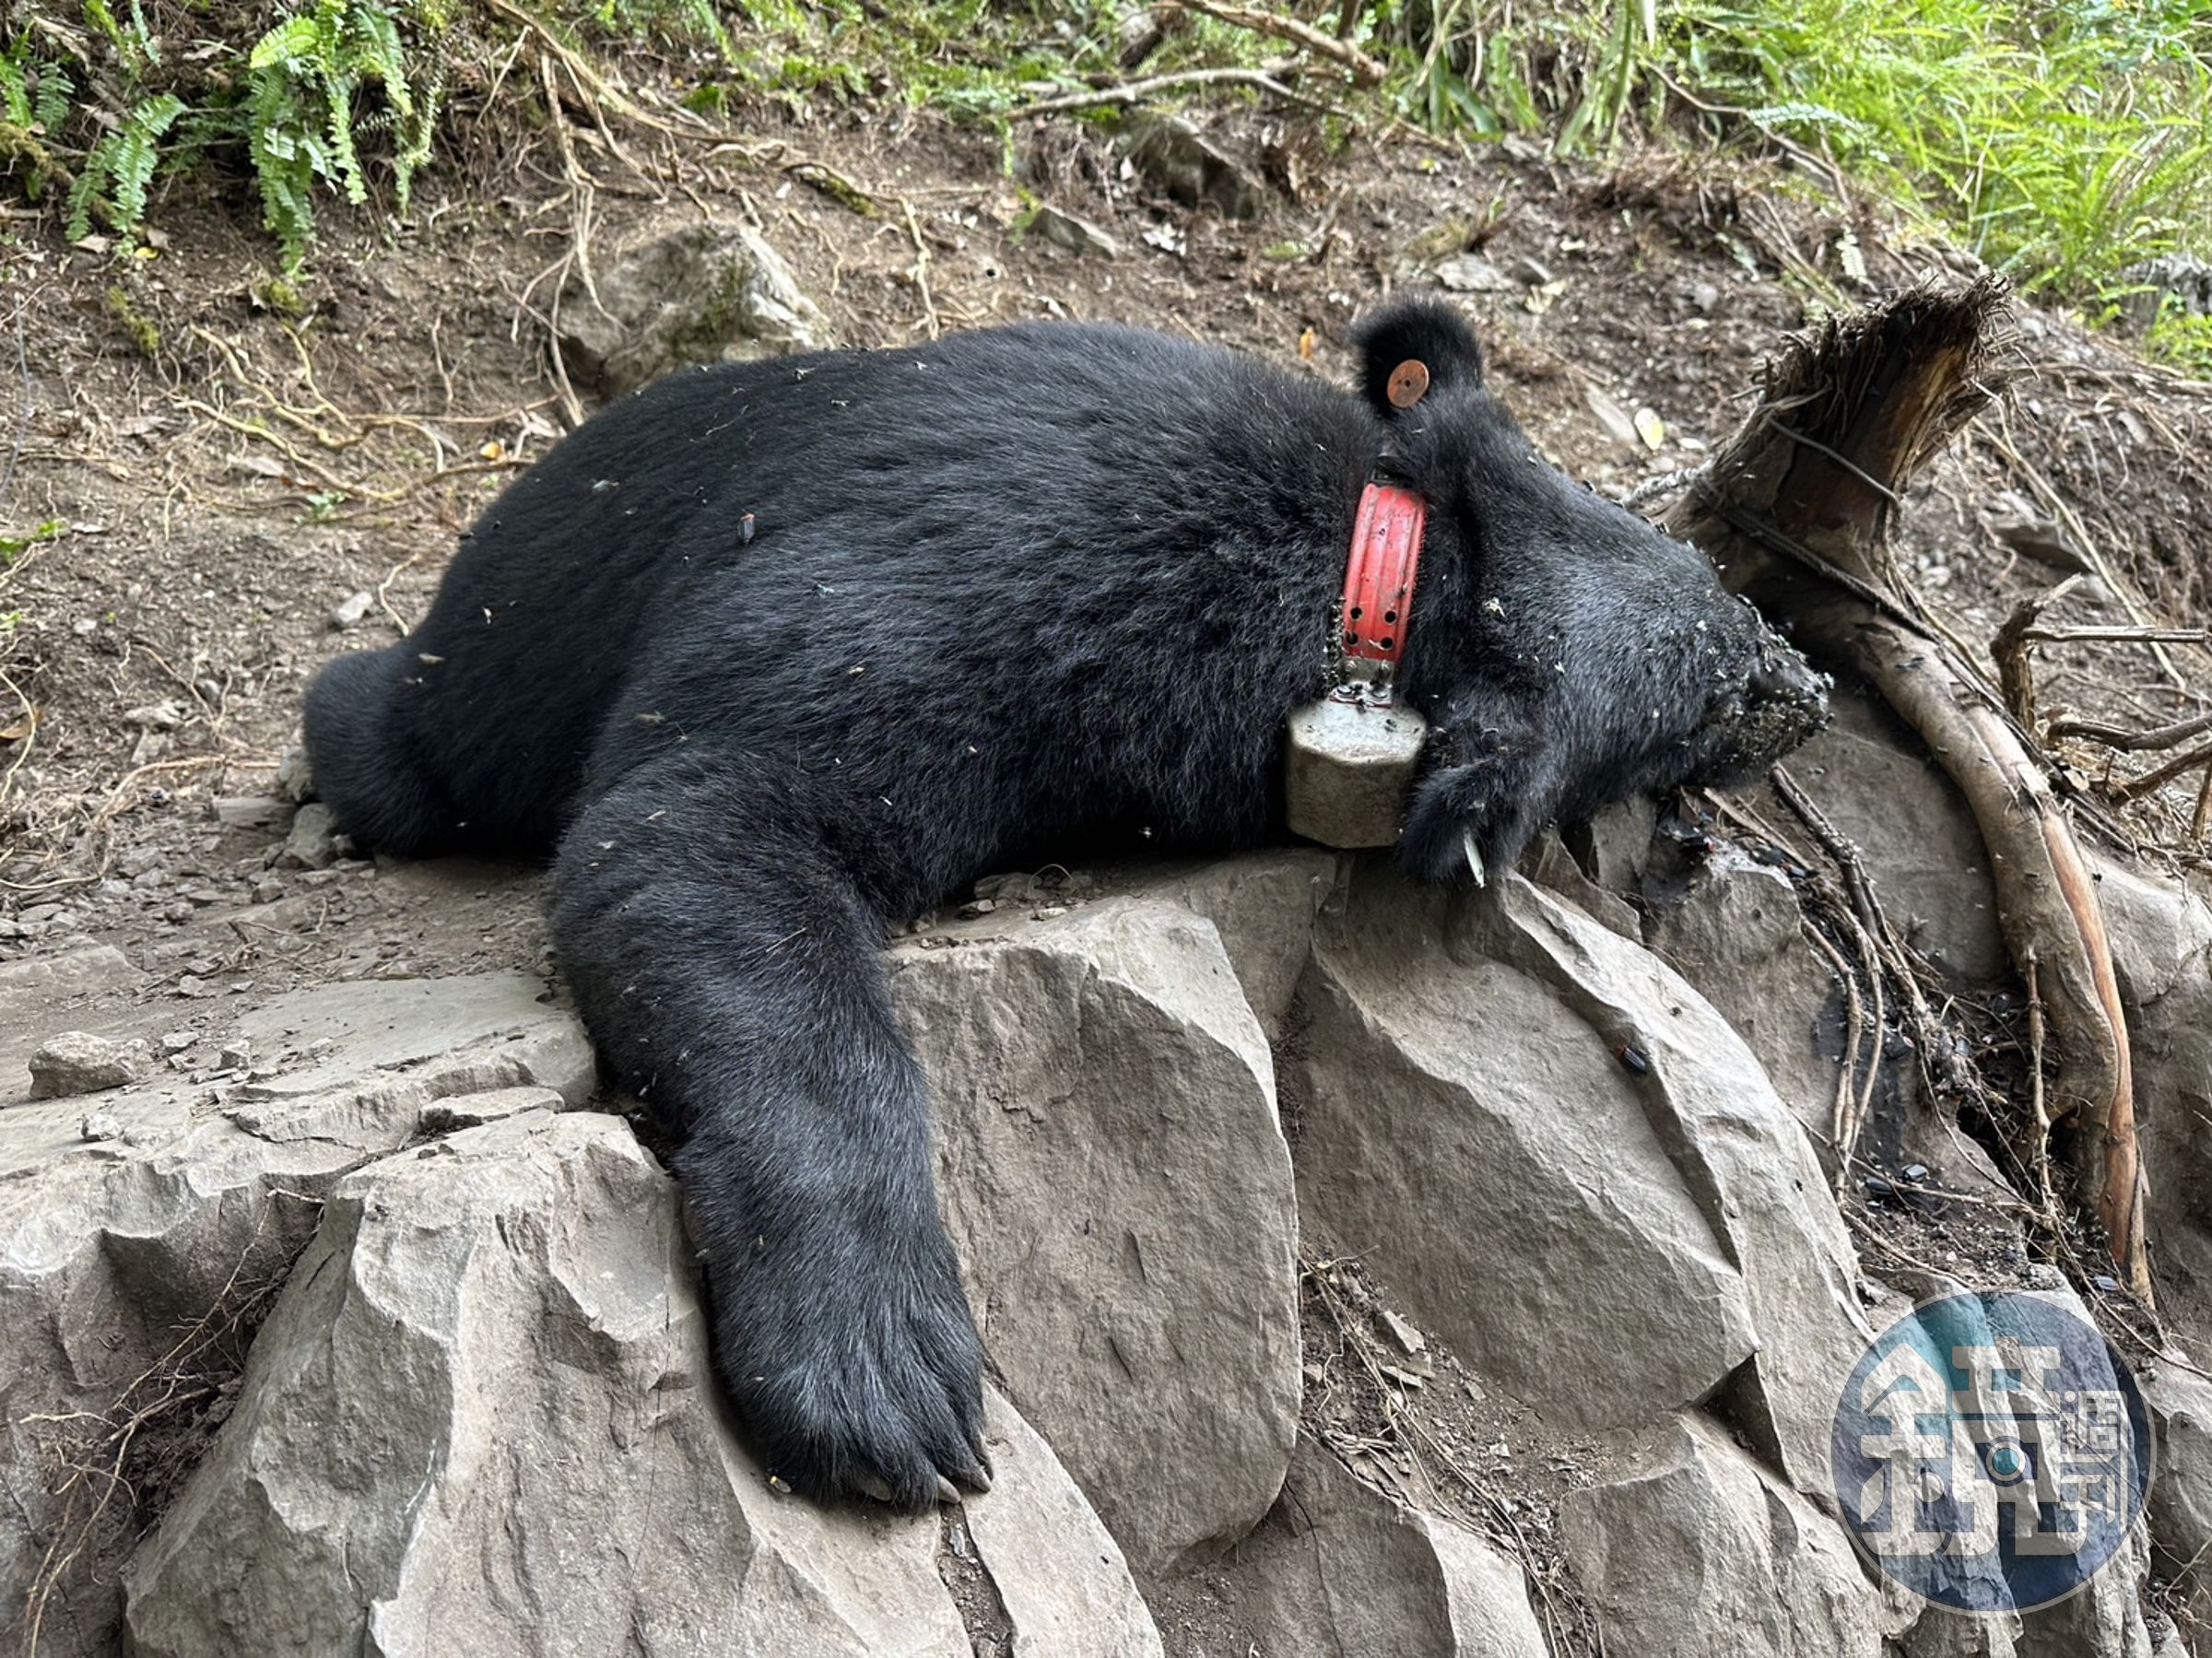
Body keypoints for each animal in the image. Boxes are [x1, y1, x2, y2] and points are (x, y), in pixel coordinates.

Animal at [303, 299, 1828, 1511]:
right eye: (1726, 671)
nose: (1811, 679)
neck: (1371, 575)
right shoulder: (980, 583)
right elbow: (702, 819)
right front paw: (883, 1377)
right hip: (490, 672)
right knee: (406, 740)